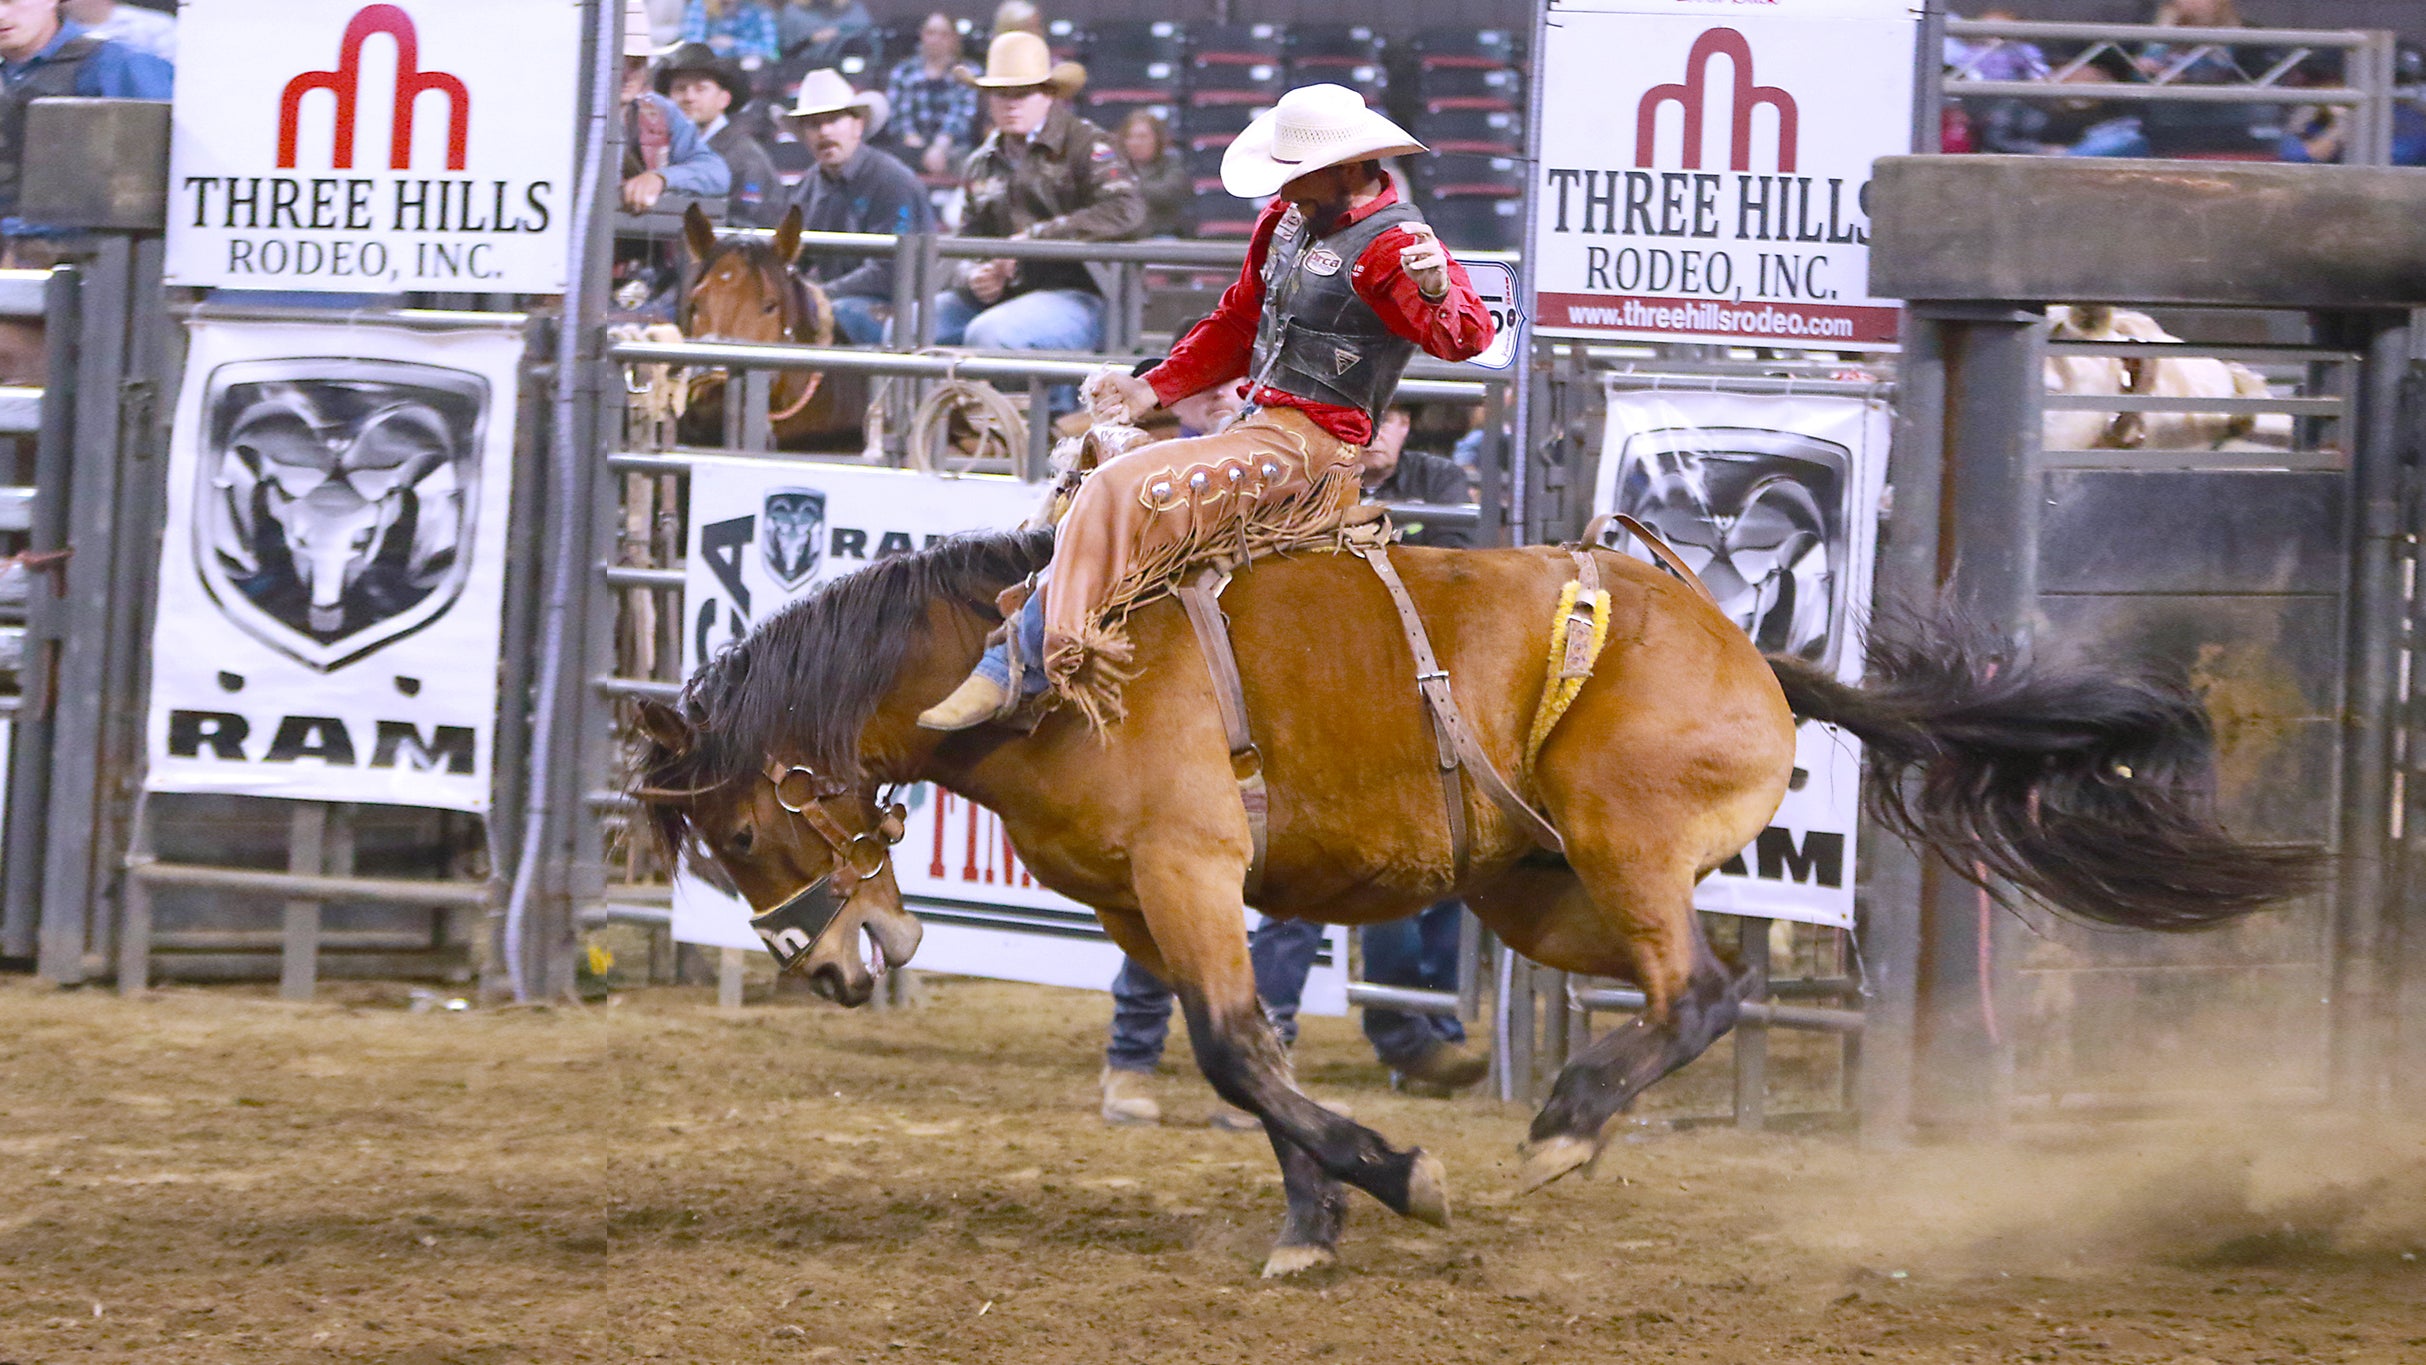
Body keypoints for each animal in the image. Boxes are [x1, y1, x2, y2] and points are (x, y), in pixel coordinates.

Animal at [635, 526, 2319, 1280]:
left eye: (740, 823)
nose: (832, 965)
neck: (1042, 672)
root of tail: (1753, 650)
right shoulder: (1136, 908)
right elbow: (1242, 1055)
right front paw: (1315, 1215)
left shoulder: (1188, 871)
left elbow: (1238, 1048)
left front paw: (1396, 1179)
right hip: (1535, 890)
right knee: (1679, 991)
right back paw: (1576, 1113)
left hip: (1625, 836)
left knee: (1699, 990)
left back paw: (1567, 1122)